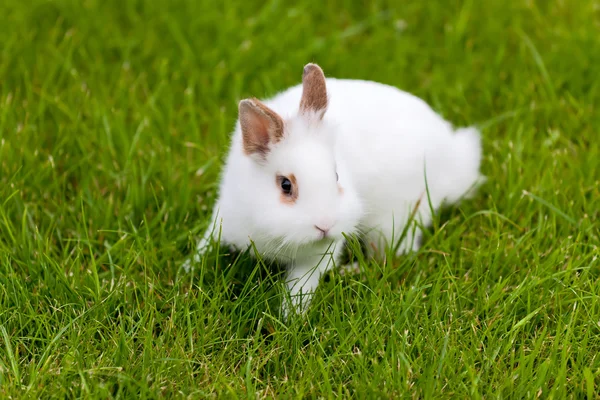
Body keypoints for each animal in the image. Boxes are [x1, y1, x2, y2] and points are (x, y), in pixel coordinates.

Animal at [190, 63, 486, 316]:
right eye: (286, 185)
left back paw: (350, 272)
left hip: (394, 223)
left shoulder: (316, 260)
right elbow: (205, 247)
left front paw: (290, 319)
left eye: (336, 176)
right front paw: (187, 271)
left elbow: (300, 288)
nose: (325, 225)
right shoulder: (224, 219)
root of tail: (453, 155)